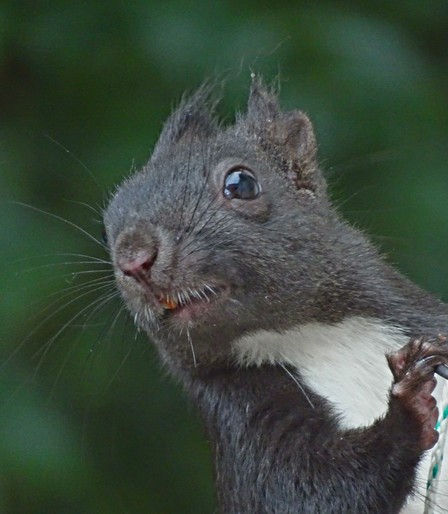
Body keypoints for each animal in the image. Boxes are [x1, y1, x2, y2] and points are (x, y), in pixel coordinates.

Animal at [103, 77, 448, 512]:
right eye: (108, 226)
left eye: (241, 183)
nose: (133, 259)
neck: (311, 335)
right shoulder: (243, 418)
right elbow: (311, 490)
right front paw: (407, 406)